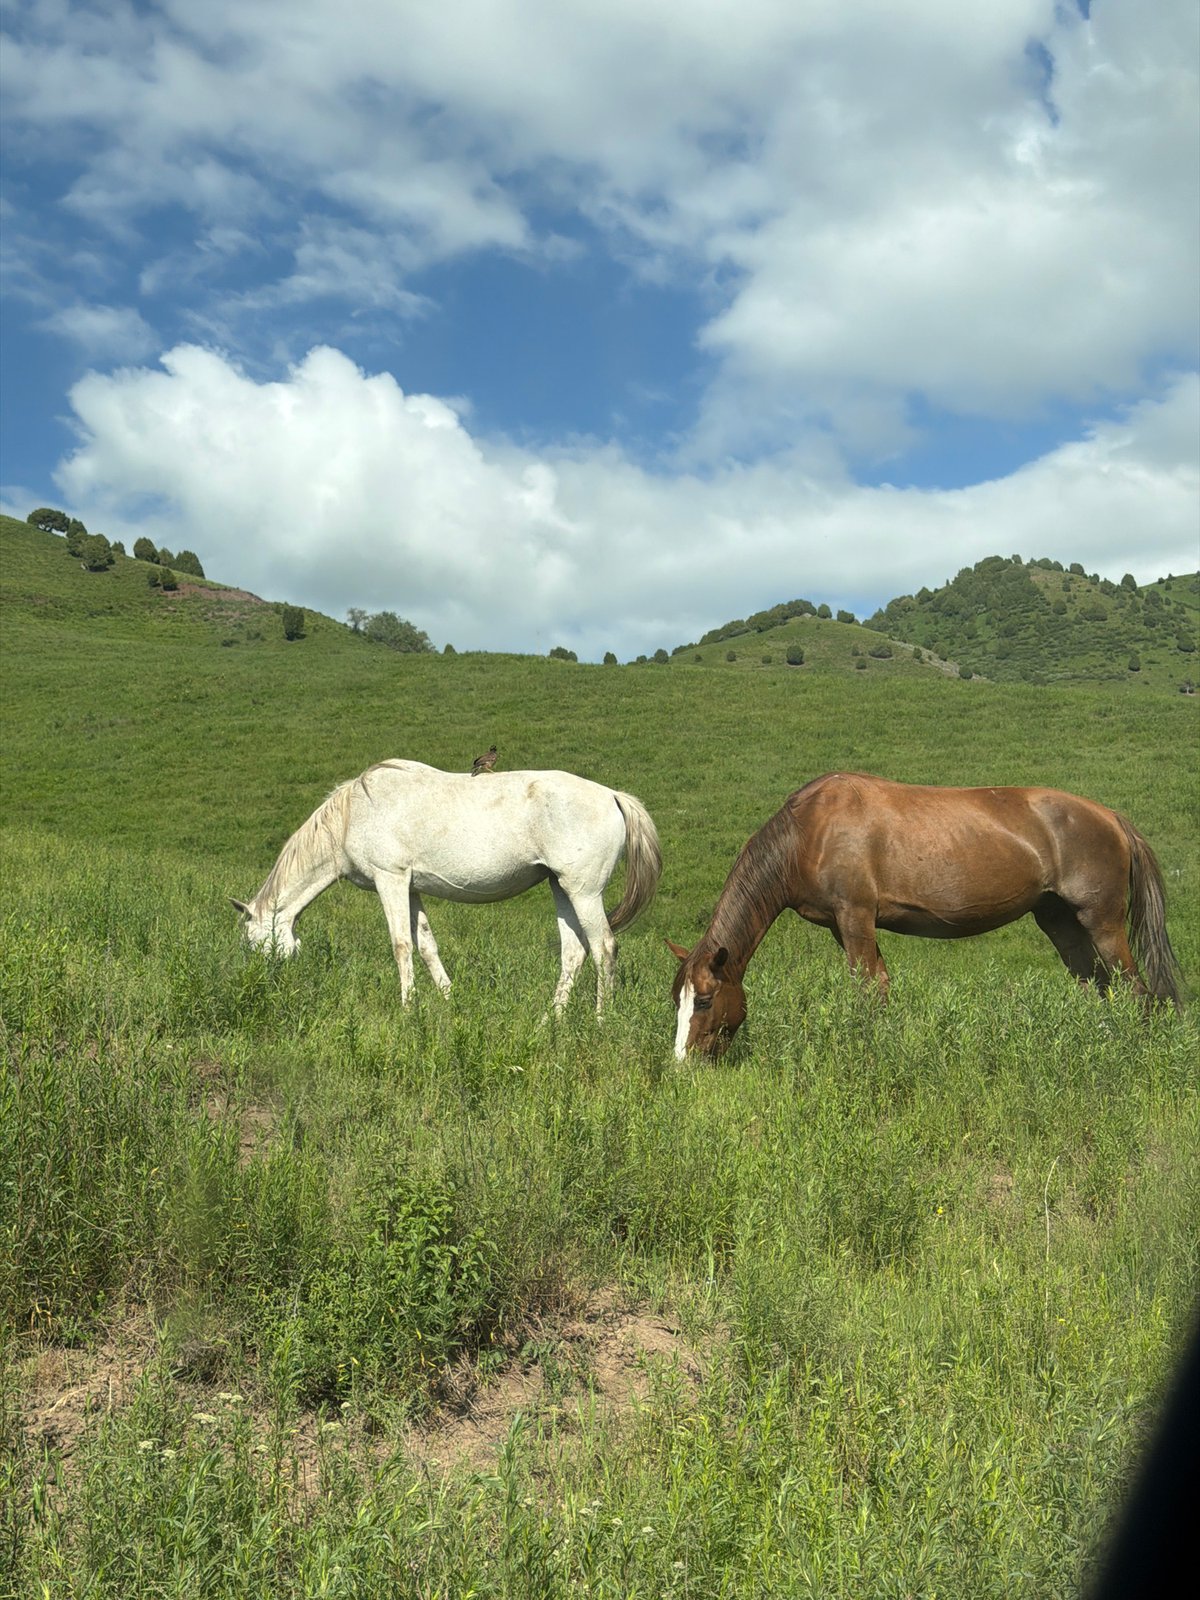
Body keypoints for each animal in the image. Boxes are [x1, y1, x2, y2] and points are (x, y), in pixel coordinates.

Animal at [232, 760, 662, 1015]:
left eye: (254, 943)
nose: (264, 984)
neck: (354, 813)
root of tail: (612, 796)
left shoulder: (390, 879)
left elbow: (401, 945)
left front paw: (407, 1010)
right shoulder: (410, 888)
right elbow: (426, 946)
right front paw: (448, 999)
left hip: (584, 892)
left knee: (604, 948)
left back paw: (601, 1019)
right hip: (561, 888)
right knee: (573, 952)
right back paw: (551, 1021)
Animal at [669, 772, 1182, 1058]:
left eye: (706, 1001)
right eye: (677, 1000)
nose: (683, 1063)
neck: (808, 831)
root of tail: (1112, 817)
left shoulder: (855, 917)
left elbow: (865, 990)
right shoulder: (844, 926)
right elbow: (879, 987)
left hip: (1102, 923)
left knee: (1135, 994)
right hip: (1061, 923)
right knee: (1097, 989)